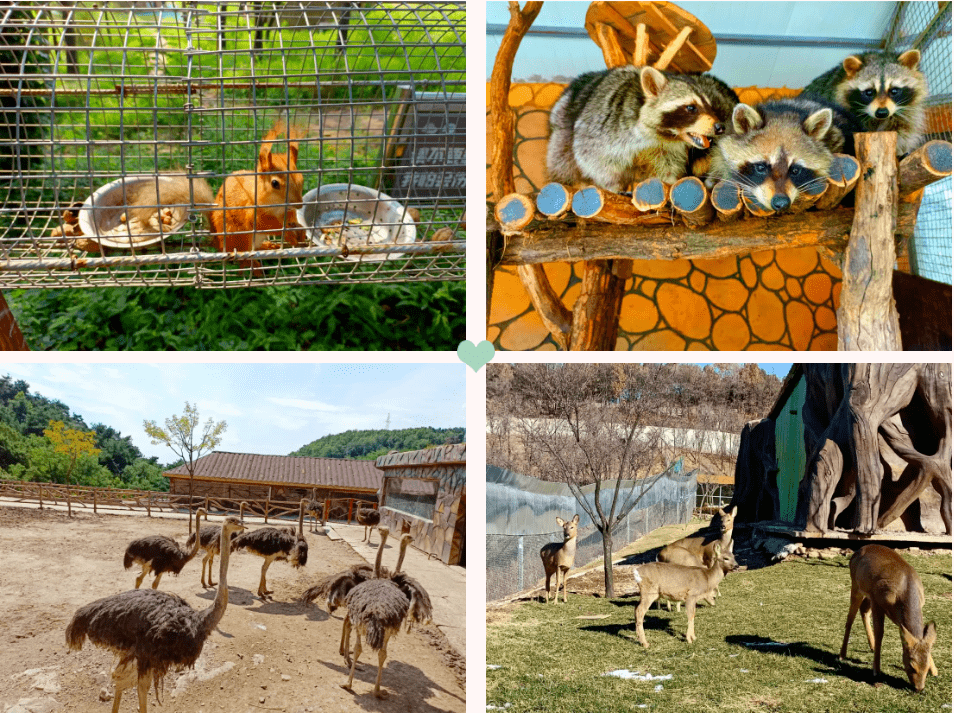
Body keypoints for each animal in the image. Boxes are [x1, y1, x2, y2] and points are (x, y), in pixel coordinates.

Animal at [210, 121, 304, 254]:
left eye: (302, 178)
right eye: (275, 183)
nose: (299, 205)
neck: (277, 207)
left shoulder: (287, 210)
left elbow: (291, 216)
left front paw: (300, 229)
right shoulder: (251, 210)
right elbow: (263, 225)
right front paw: (286, 232)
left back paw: (268, 245)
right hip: (238, 237)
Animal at [544, 64, 736, 191]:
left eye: (710, 106)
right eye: (691, 108)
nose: (719, 127)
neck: (661, 134)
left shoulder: (666, 147)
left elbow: (667, 164)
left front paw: (670, 180)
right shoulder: (602, 126)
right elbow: (593, 157)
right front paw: (612, 184)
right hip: (563, 120)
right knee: (561, 155)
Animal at [836, 544, 932, 688]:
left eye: (926, 667)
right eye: (911, 665)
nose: (919, 688)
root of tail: (857, 551)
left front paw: (935, 671)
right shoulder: (877, 602)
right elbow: (880, 633)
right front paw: (876, 672)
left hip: (867, 594)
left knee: (863, 610)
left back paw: (871, 646)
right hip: (856, 586)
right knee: (850, 618)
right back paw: (842, 654)